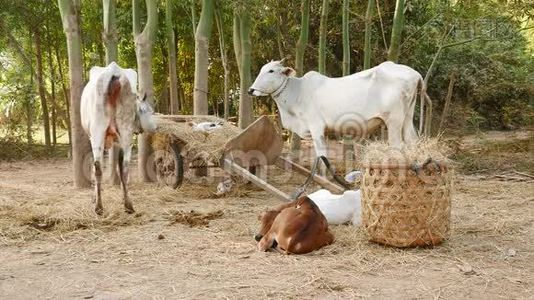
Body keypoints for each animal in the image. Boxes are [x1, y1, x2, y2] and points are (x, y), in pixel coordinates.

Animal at [81, 61, 157, 216]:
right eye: (149, 111)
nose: (155, 127)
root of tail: (114, 73)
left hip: (98, 133)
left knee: (98, 167)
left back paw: (99, 207)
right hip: (124, 135)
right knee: (125, 169)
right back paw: (128, 205)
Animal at [250, 60, 432, 197]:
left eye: (271, 71)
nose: (250, 90)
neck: (297, 93)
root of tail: (415, 74)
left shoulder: (316, 127)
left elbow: (321, 155)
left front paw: (320, 184)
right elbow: (322, 158)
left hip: (394, 121)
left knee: (398, 148)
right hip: (407, 118)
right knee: (412, 142)